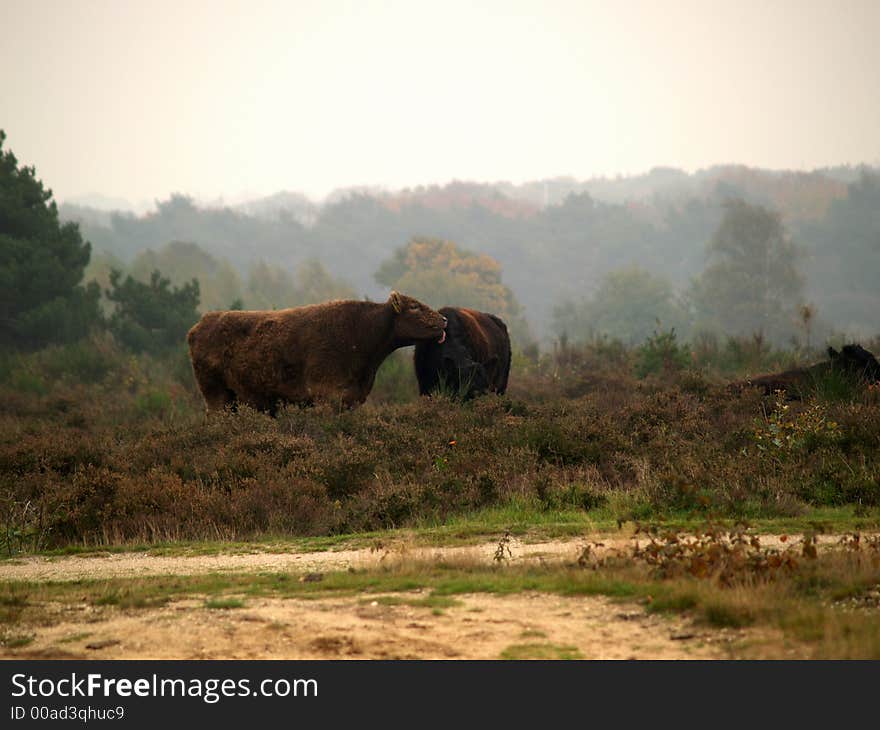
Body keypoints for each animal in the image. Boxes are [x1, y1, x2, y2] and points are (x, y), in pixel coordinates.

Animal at [186, 292, 446, 416]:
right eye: (414, 306)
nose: (443, 319)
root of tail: (196, 328)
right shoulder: (327, 397)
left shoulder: (351, 400)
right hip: (216, 395)